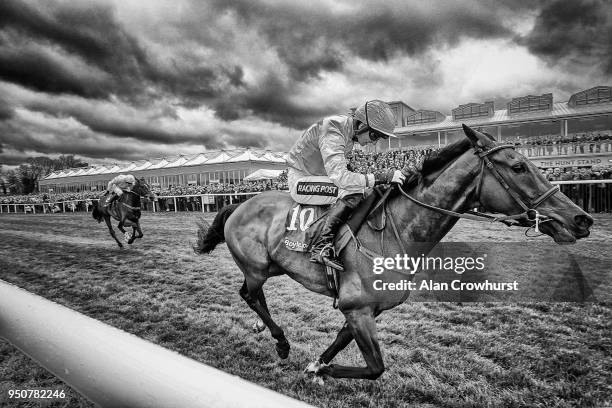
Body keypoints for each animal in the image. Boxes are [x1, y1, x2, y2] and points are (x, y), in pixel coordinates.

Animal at [192, 124, 592, 380]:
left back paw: (265, 328)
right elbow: (376, 368)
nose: (582, 219)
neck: (396, 230)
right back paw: (280, 341)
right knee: (249, 293)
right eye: (519, 166)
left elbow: (341, 343)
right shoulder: (357, 307)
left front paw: (318, 365)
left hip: (274, 266)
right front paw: (322, 369)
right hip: (256, 266)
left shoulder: (367, 309)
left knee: (253, 295)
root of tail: (238, 203)